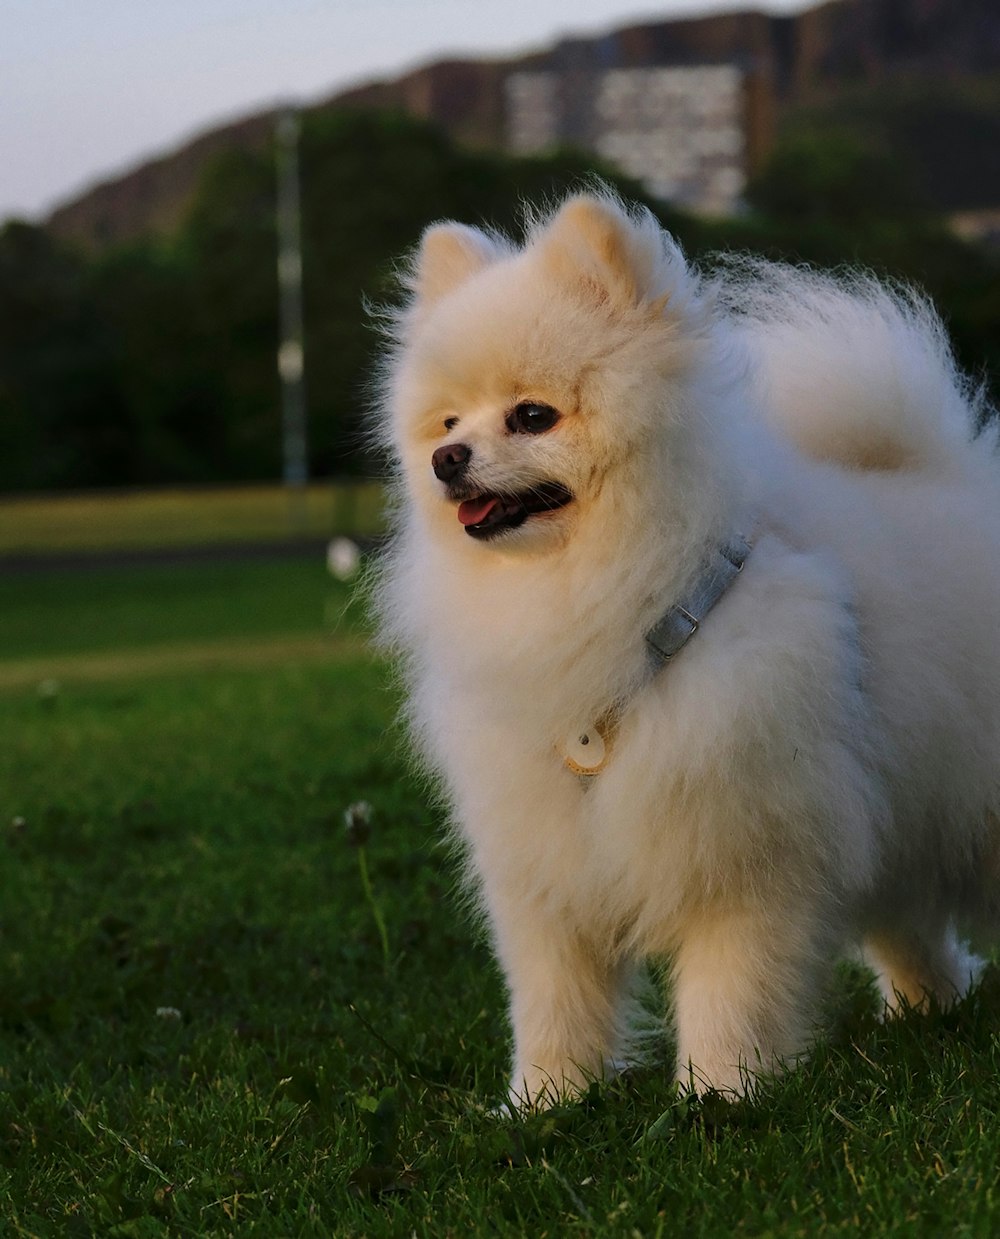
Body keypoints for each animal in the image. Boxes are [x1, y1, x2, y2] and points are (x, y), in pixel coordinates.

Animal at [374, 188, 1000, 1100]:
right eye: (448, 421)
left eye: (533, 415)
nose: (448, 459)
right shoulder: (545, 861)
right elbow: (553, 996)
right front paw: (545, 1100)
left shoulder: (744, 845)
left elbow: (729, 986)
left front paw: (720, 1092)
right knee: (909, 920)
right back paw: (928, 1007)